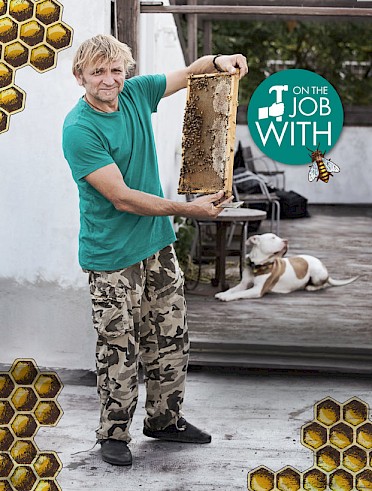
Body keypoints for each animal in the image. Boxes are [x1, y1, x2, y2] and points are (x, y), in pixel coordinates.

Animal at [215, 234, 358, 302]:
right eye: (273, 237)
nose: (286, 241)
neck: (258, 264)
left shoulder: (257, 290)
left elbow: (240, 293)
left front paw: (226, 298)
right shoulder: (244, 284)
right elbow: (233, 289)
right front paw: (223, 293)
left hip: (317, 273)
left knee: (324, 284)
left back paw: (311, 287)